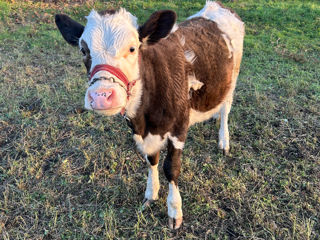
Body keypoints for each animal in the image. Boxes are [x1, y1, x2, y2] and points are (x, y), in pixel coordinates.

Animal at [55, 0, 245, 229]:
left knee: (226, 109)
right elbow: (151, 159)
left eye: (132, 48)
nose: (101, 95)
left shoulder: (179, 128)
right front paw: (151, 194)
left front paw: (174, 211)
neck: (145, 119)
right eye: (83, 50)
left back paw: (224, 140)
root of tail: (216, 6)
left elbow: (171, 168)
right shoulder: (142, 132)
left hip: (233, 78)